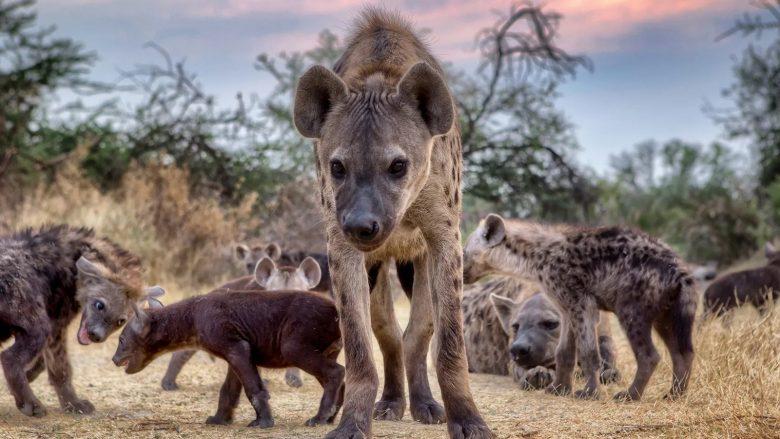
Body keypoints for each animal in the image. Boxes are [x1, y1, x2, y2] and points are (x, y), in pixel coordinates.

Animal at [111, 290, 342, 428]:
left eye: (121, 340)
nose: (113, 359)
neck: (193, 317)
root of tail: (335, 309)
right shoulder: (236, 352)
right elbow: (228, 391)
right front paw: (219, 419)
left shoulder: (236, 348)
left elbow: (254, 389)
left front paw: (264, 422)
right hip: (327, 351)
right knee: (341, 377)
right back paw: (331, 417)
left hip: (293, 347)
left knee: (336, 372)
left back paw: (320, 418)